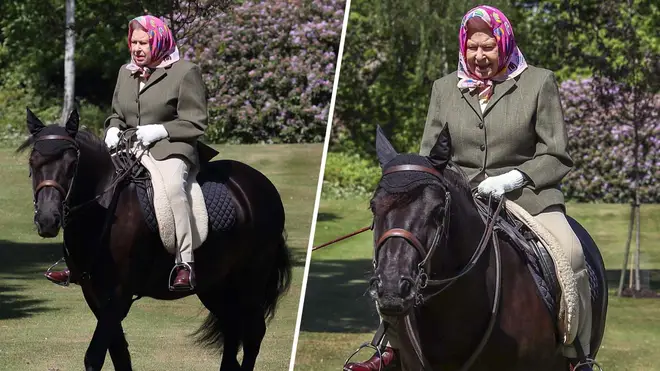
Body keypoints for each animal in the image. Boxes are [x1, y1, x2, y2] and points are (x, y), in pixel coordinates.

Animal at [17, 108, 292, 371]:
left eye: (73, 163)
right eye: (33, 162)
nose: (47, 220)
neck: (103, 209)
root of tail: (261, 184)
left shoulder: (119, 294)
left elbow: (94, 357)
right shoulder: (94, 294)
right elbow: (120, 355)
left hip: (251, 280)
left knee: (253, 333)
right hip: (215, 284)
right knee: (232, 328)